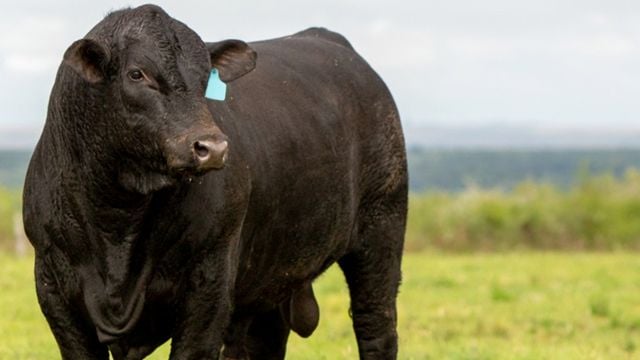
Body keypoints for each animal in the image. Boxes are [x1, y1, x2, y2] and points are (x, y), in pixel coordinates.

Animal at [23, 3, 410, 360]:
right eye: (136, 74)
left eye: (203, 79)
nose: (212, 147)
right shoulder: (53, 286)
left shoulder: (209, 278)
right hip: (271, 276)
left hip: (382, 227)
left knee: (376, 325)